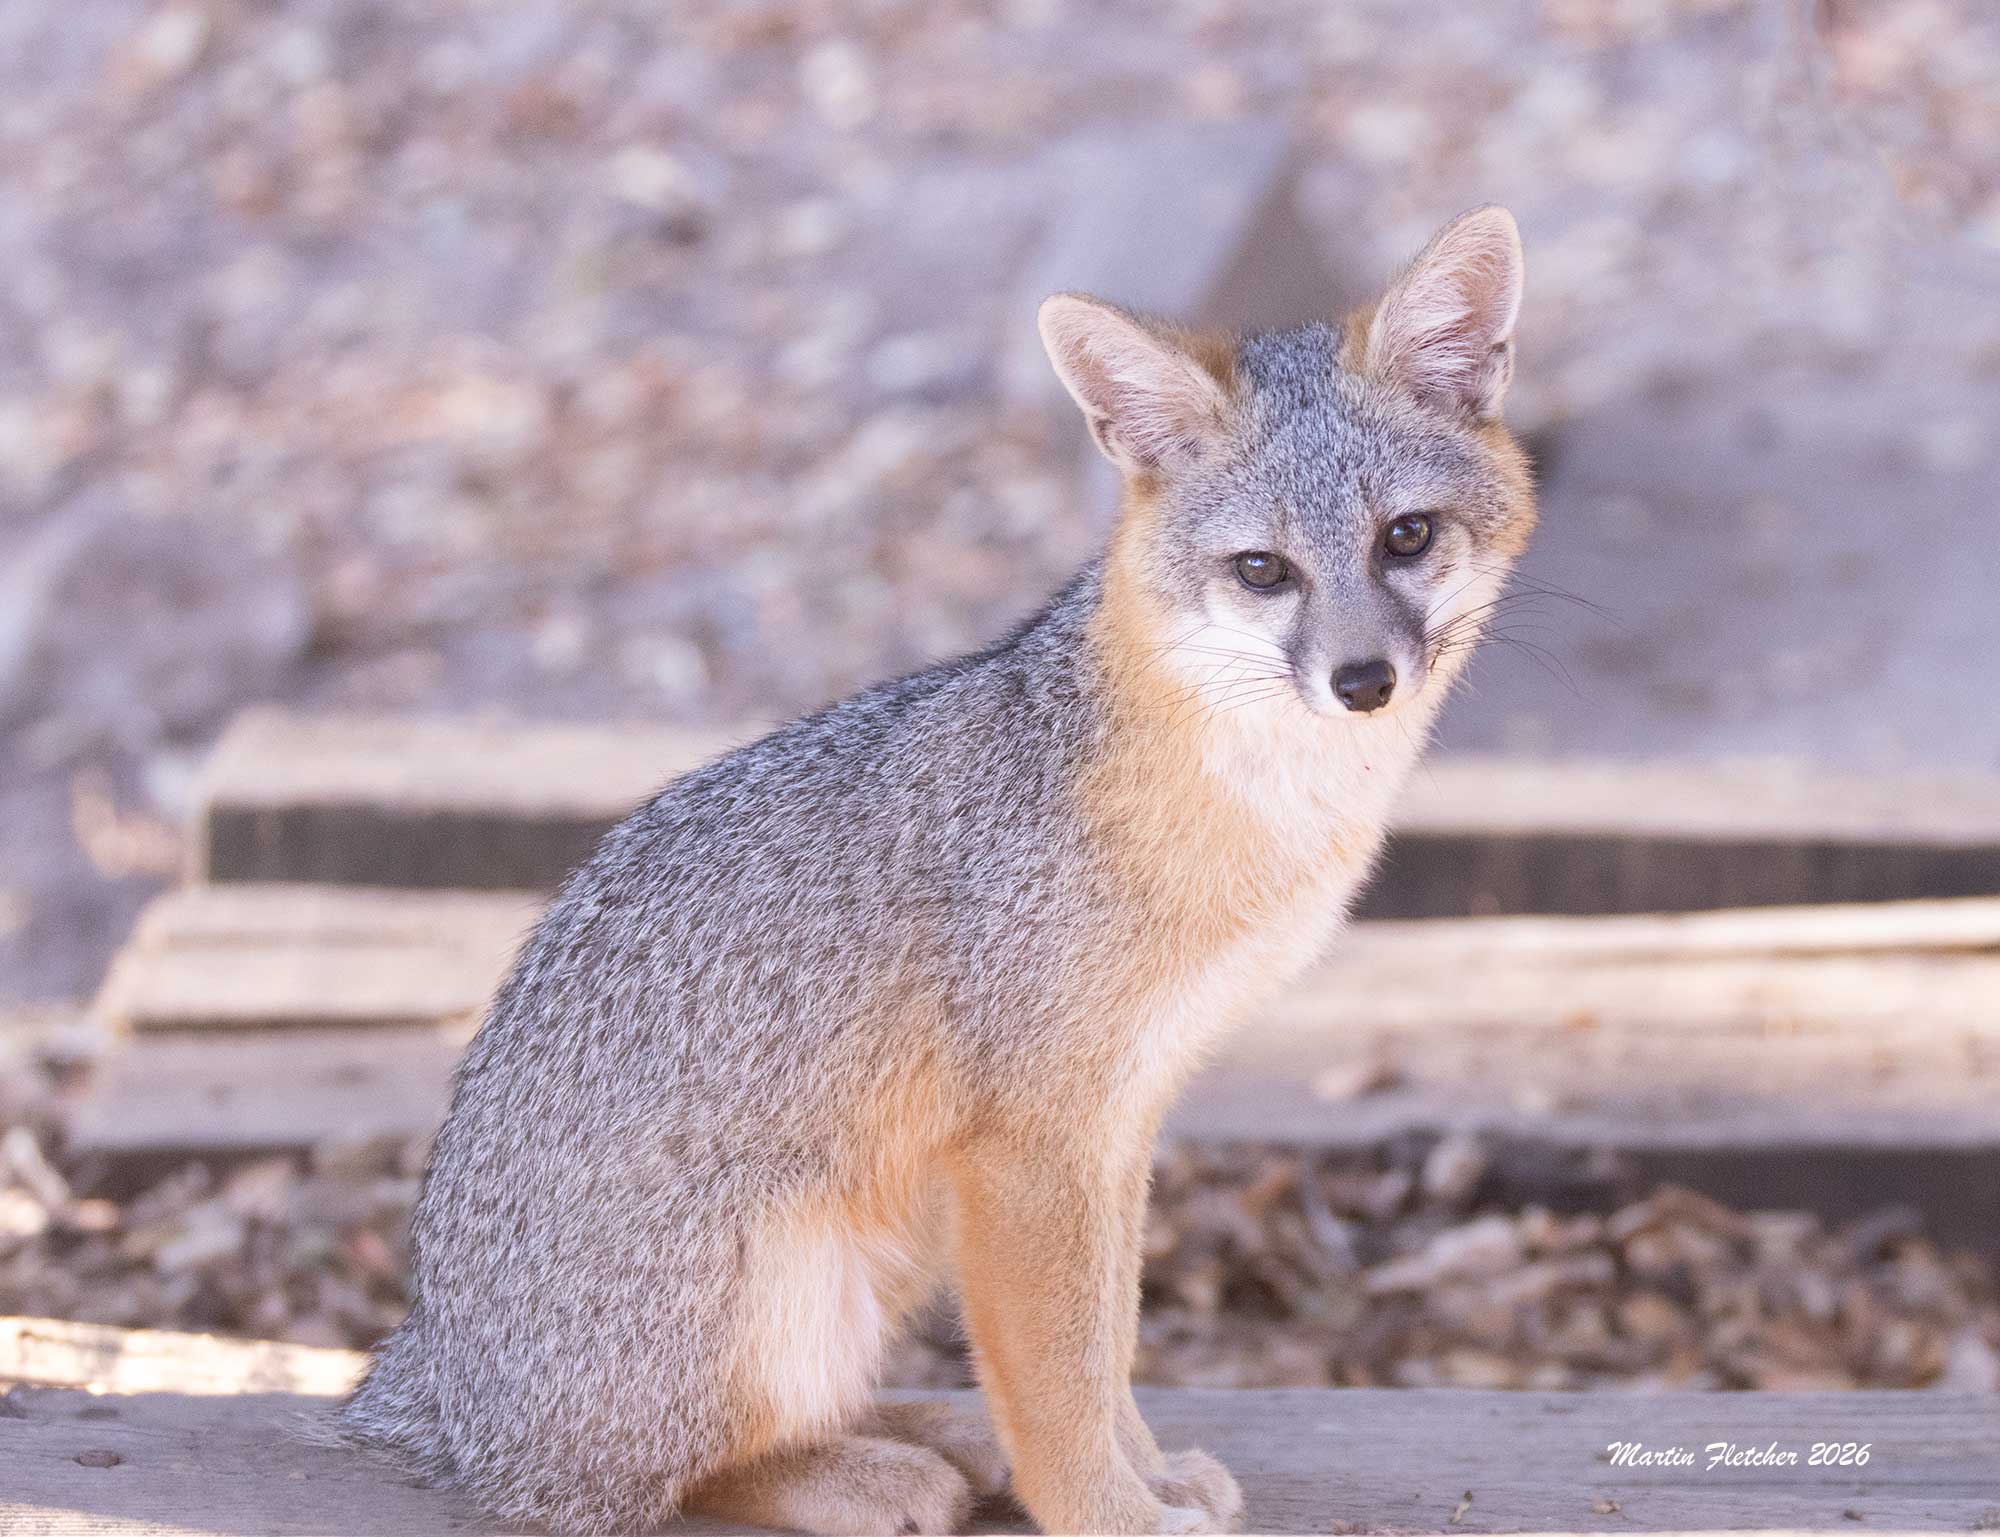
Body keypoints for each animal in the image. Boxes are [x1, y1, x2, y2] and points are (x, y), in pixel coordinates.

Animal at [341, 205, 1534, 1535]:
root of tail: (432, 1383)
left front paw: (1146, 1469)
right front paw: (1108, 1513)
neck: (1246, 816)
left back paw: (929, 1435)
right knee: (656, 1478)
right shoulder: (1029, 1141)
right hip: (788, 1272)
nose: (1362, 680)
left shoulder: (1120, 1120)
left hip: (895, 1237)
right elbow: (1058, 1377)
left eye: (1405, 537)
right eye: (1262, 570)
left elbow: (1106, 1342)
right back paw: (864, 1470)